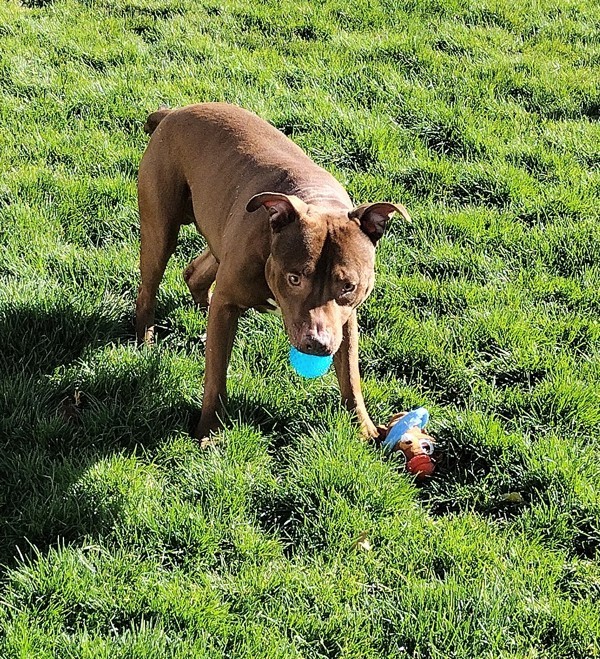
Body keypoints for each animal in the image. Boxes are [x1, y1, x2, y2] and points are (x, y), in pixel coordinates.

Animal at [135, 103, 408, 440]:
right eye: (294, 278)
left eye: (348, 286)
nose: (317, 344)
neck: (317, 201)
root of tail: (173, 111)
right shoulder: (229, 302)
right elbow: (216, 376)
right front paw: (209, 430)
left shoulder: (345, 321)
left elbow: (351, 376)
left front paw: (364, 429)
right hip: (161, 230)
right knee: (149, 289)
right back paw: (144, 340)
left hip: (219, 239)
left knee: (195, 273)